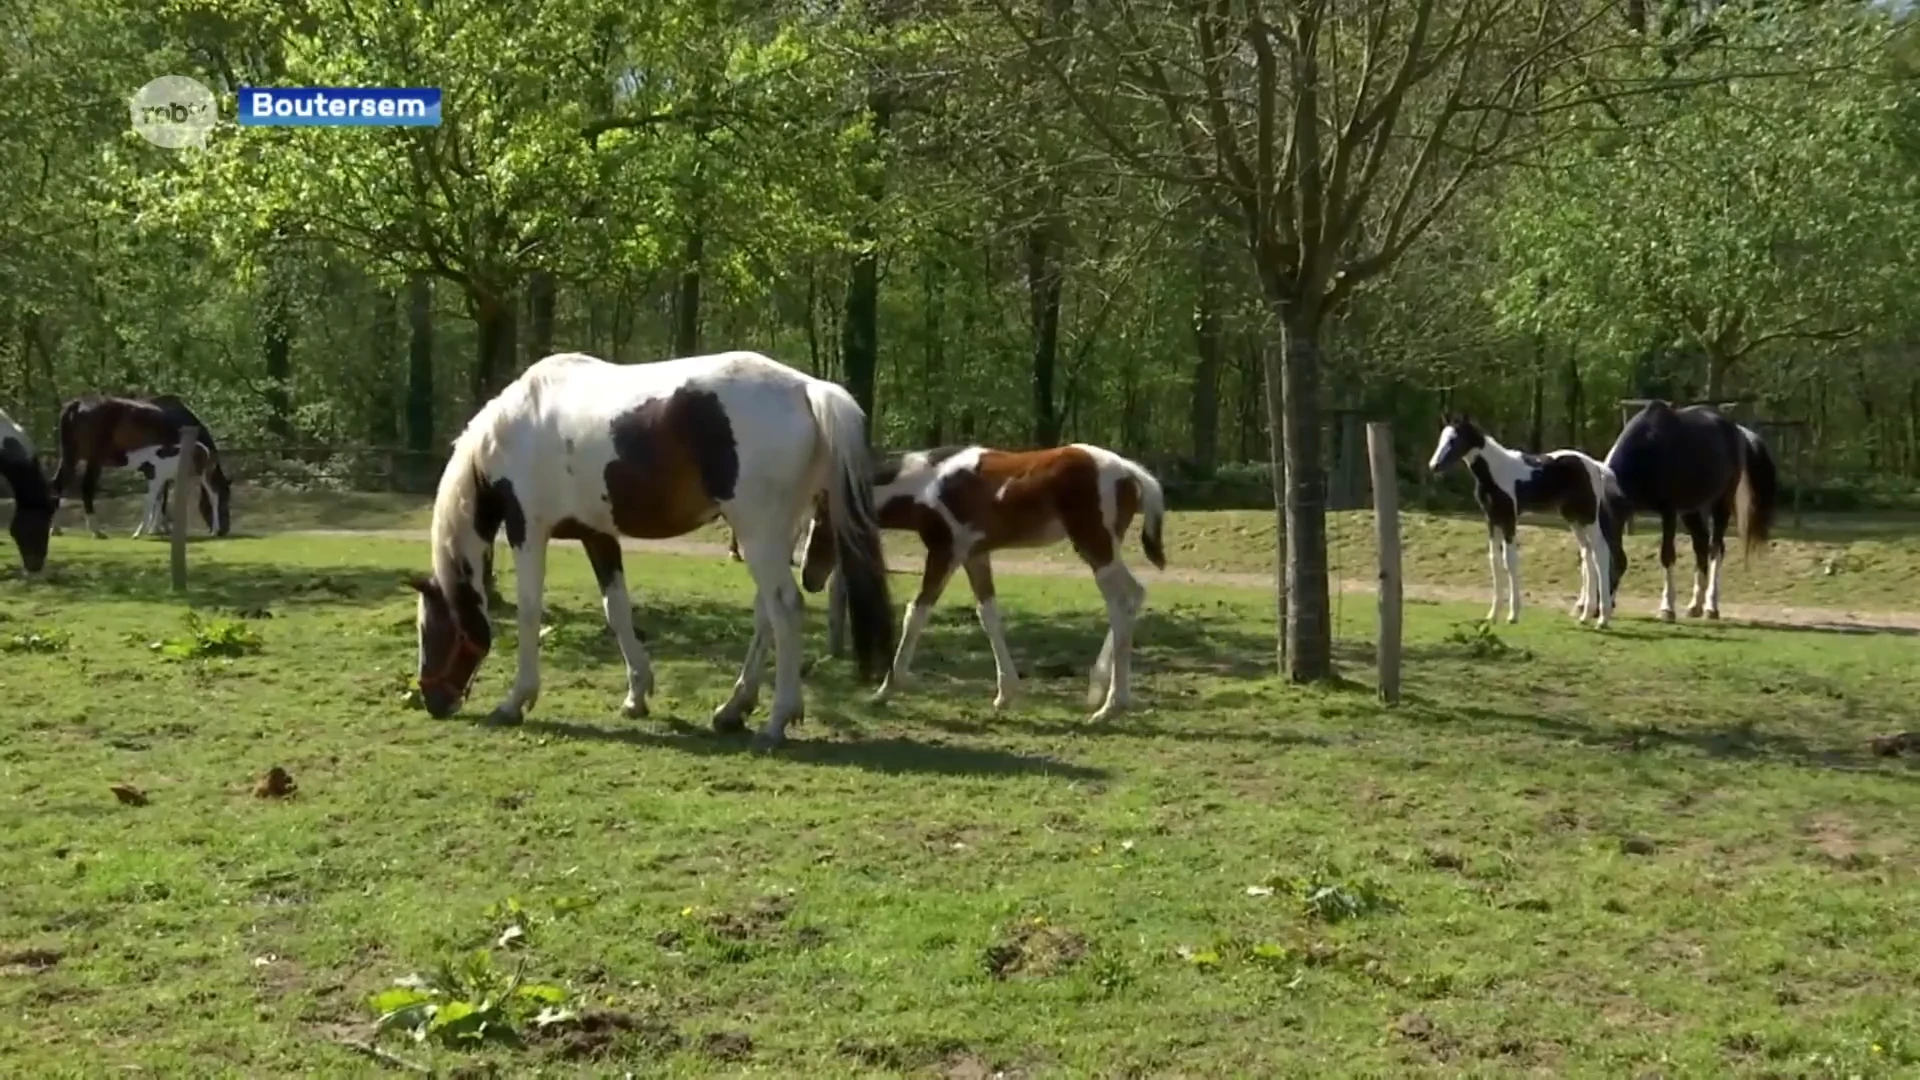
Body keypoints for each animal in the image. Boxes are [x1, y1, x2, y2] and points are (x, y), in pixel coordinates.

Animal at [51, 393, 232, 534]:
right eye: (225, 498)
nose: (224, 530)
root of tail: (77, 405)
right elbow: (162, 496)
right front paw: (158, 527)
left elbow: (158, 495)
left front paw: (156, 526)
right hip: (93, 460)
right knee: (86, 489)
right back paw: (96, 530)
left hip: (70, 458)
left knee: (58, 485)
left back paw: (55, 528)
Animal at [408, 349, 894, 745]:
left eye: (430, 630)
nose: (433, 702)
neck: (515, 428)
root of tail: (808, 389)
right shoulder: (597, 535)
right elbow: (617, 611)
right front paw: (636, 696)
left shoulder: (528, 528)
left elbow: (530, 611)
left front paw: (515, 701)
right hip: (775, 534)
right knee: (766, 615)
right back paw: (733, 709)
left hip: (758, 534)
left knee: (785, 610)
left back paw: (777, 720)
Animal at [794, 441, 1167, 718]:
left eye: (821, 523)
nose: (809, 578)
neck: (926, 485)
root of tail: (1131, 472)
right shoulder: (975, 556)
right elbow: (988, 615)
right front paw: (1006, 693)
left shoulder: (945, 551)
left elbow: (917, 612)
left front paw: (889, 686)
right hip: (1103, 548)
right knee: (1132, 598)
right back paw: (1101, 689)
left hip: (1095, 546)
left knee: (1122, 600)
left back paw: (1111, 704)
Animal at [1597, 399, 1774, 618]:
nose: (1597, 608)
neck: (1649, 452)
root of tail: (1739, 432)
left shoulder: (1669, 512)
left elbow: (1667, 555)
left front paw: (1667, 608)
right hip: (1691, 510)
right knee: (1702, 546)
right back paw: (1695, 605)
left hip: (1720, 504)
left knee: (1716, 549)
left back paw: (1711, 606)